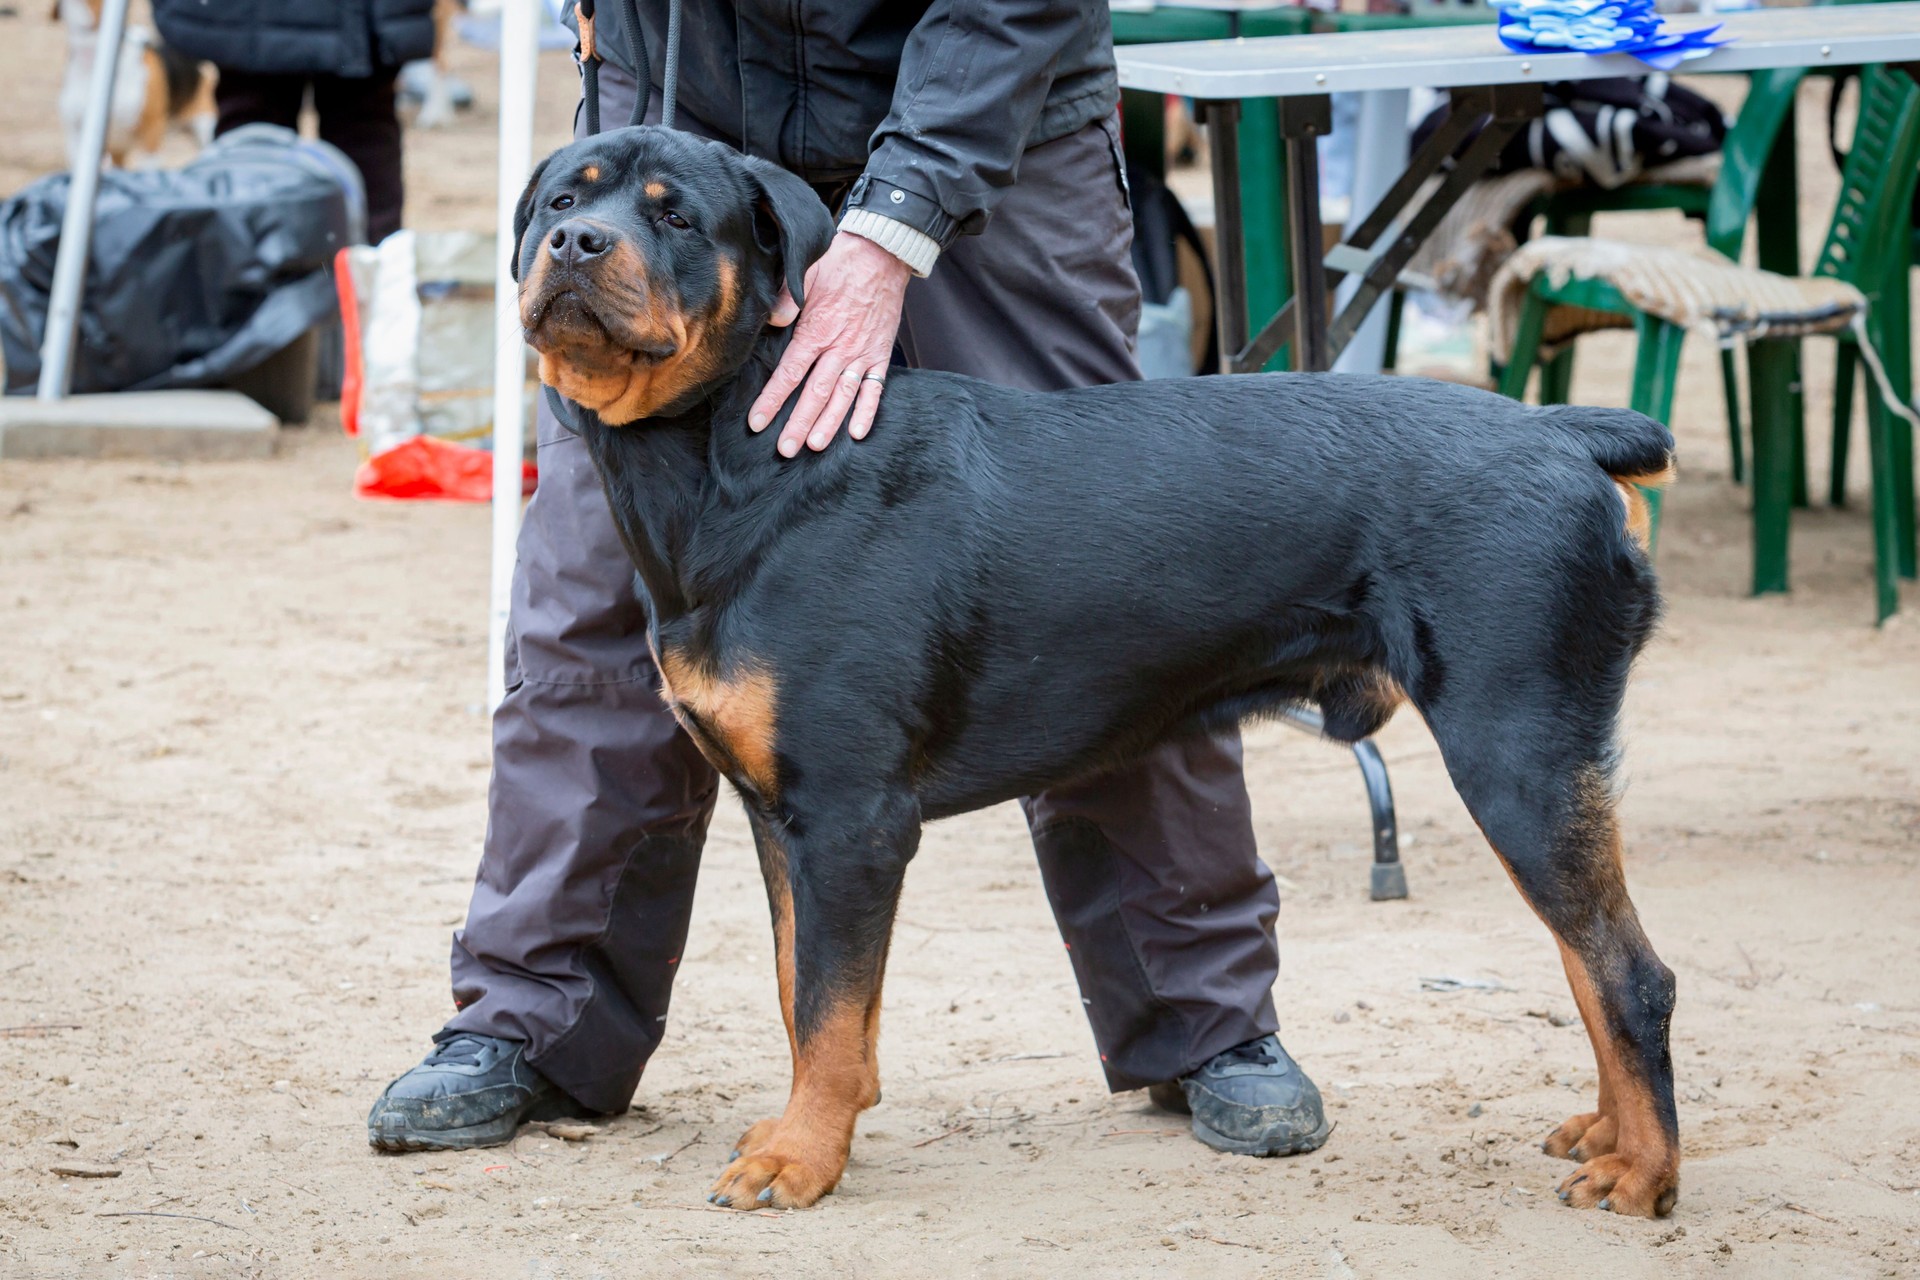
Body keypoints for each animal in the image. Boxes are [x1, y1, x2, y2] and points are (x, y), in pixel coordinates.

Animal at [510, 127, 1681, 1220]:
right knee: (1585, 958)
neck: (734, 457)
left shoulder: (850, 816)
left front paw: (800, 1158)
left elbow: (829, 1008)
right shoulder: (779, 815)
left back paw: (1644, 1173)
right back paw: (1606, 1133)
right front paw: (811, 1124)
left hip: (1515, 749)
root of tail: (1567, 436)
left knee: (1631, 971)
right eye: (564, 200)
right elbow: (805, 990)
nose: (577, 243)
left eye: (673, 215)